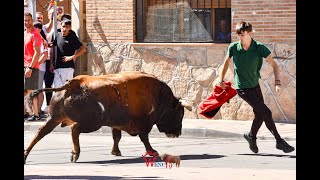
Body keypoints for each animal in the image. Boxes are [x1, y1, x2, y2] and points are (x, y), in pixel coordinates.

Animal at [24, 71, 192, 164]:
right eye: (179, 114)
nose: (178, 132)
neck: (158, 95)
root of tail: (74, 83)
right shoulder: (143, 123)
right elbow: (144, 138)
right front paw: (153, 151)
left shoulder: (116, 124)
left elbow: (116, 137)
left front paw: (115, 152)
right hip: (93, 123)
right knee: (75, 128)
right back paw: (75, 154)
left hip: (54, 118)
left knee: (41, 132)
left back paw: (25, 155)